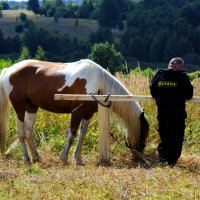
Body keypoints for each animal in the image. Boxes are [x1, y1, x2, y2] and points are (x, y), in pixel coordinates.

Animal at [0, 58, 148, 165]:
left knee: (28, 132)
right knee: (21, 133)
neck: (97, 83)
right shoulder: (77, 112)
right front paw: (64, 158)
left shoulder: (88, 114)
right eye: (143, 133)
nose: (140, 158)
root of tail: (9, 70)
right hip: (19, 108)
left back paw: (36, 157)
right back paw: (26, 159)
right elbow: (72, 135)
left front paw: (78, 159)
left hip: (32, 107)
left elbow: (82, 135)